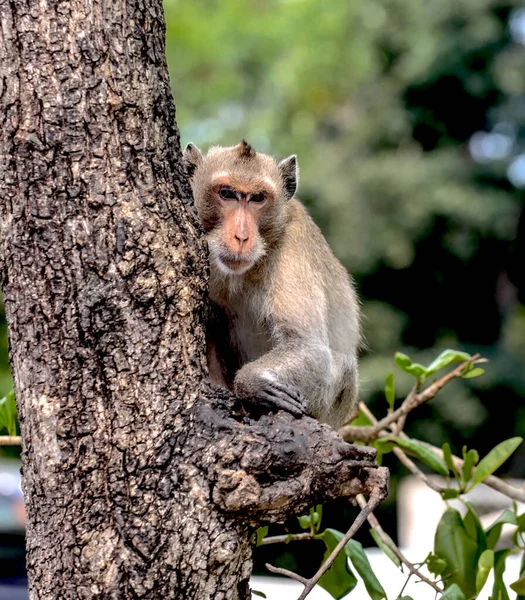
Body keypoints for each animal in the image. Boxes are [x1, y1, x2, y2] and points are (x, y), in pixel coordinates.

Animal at [183, 140, 360, 426]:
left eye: (257, 198)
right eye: (227, 194)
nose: (241, 236)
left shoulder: (292, 247)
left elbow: (308, 346)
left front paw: (252, 383)